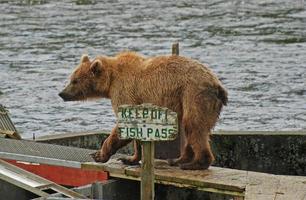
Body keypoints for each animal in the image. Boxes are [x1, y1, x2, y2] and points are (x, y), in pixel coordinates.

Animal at [59, 50, 227, 170]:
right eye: (71, 78)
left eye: (75, 80)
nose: (62, 93)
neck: (110, 81)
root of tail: (217, 85)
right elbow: (136, 130)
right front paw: (130, 158)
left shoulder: (124, 91)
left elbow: (125, 123)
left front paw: (98, 155)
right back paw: (178, 159)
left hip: (193, 94)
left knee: (194, 126)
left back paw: (194, 164)